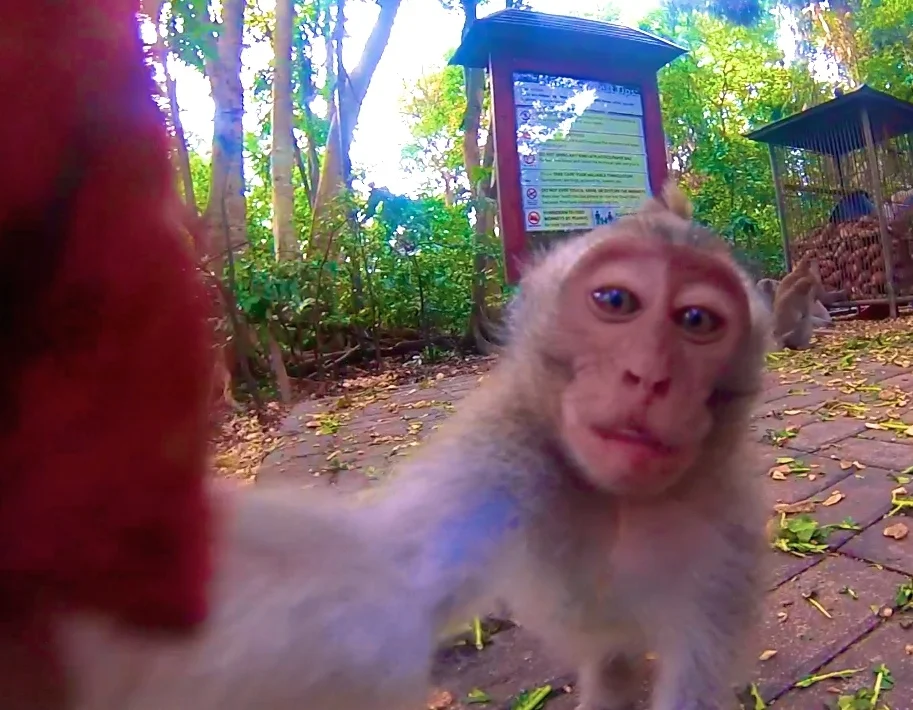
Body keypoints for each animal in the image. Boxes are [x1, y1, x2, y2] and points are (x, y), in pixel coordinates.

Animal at [42, 182, 772, 710]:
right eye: (616, 301)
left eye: (696, 320)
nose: (647, 375)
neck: (616, 500)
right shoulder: (503, 451)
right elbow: (378, 581)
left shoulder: (728, 534)